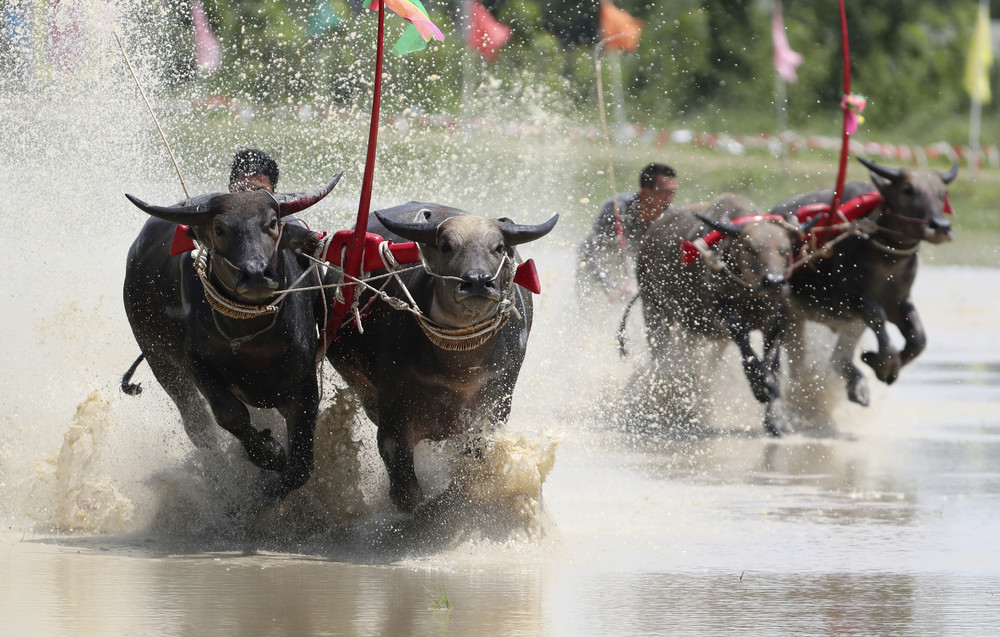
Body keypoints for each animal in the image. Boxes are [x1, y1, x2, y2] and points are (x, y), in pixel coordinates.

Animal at [326, 204, 556, 512]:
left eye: (497, 247)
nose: (477, 282)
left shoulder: (495, 401)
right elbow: (401, 474)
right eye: (446, 246)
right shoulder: (395, 405)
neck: (459, 367)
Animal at [636, 191, 816, 434]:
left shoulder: (776, 321)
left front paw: (777, 419)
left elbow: (773, 365)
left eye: (784, 250)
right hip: (653, 308)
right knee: (661, 353)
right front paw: (759, 387)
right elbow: (748, 352)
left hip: (690, 326)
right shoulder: (725, 317)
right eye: (750, 248)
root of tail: (649, 236)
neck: (750, 295)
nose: (774, 282)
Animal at [768, 157, 956, 404]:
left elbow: (919, 338)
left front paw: (879, 363)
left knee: (837, 359)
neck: (886, 261)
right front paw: (884, 364)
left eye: (942, 192)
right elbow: (877, 316)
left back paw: (857, 386)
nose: (941, 226)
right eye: (908, 189)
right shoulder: (853, 300)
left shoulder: (899, 302)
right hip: (791, 316)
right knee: (797, 364)